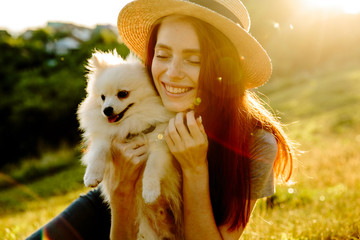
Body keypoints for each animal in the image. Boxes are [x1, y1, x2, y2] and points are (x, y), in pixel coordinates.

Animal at [76, 50, 183, 238]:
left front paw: (150, 191)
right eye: (102, 97)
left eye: (123, 94)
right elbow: (98, 154)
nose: (106, 110)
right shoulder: (104, 138)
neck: (131, 125)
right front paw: (91, 176)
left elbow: (152, 168)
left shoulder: (159, 147)